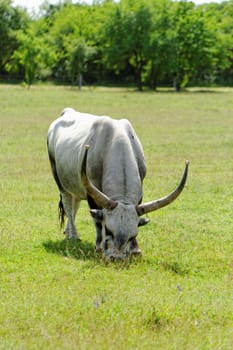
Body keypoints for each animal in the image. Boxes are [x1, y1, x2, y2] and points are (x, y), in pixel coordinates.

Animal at [47, 108, 189, 260]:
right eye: (108, 230)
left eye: (133, 235)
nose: (117, 258)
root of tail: (68, 111)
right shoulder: (91, 192)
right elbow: (97, 220)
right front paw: (98, 247)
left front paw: (136, 249)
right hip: (59, 180)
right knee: (68, 204)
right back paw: (73, 235)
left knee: (75, 204)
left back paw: (68, 233)